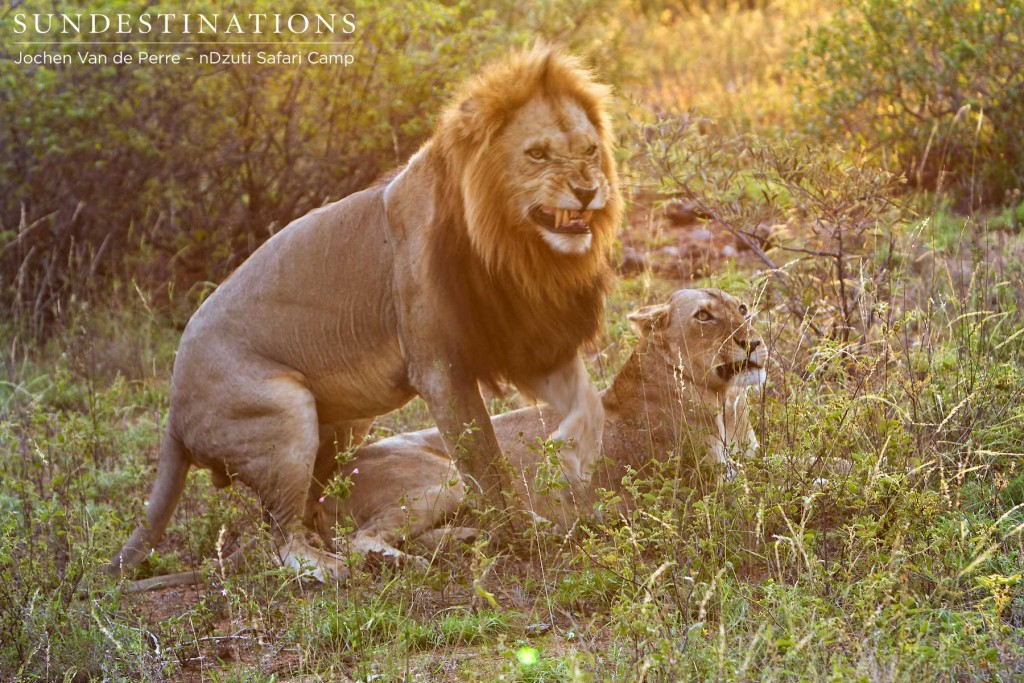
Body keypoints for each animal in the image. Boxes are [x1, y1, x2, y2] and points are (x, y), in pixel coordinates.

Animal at [114, 48, 622, 581]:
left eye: (590, 150)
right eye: (537, 154)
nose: (587, 191)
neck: (515, 247)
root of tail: (174, 414)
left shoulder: (520, 338)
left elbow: (586, 399)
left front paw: (578, 449)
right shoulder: (440, 367)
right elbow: (485, 460)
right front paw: (523, 533)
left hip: (346, 422)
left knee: (320, 509)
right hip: (284, 413)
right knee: (289, 536)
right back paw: (342, 567)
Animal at [321, 288, 770, 561]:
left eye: (743, 309)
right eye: (703, 316)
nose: (754, 342)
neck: (726, 403)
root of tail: (323, 484)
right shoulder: (707, 488)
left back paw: (475, 536)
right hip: (447, 478)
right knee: (357, 541)